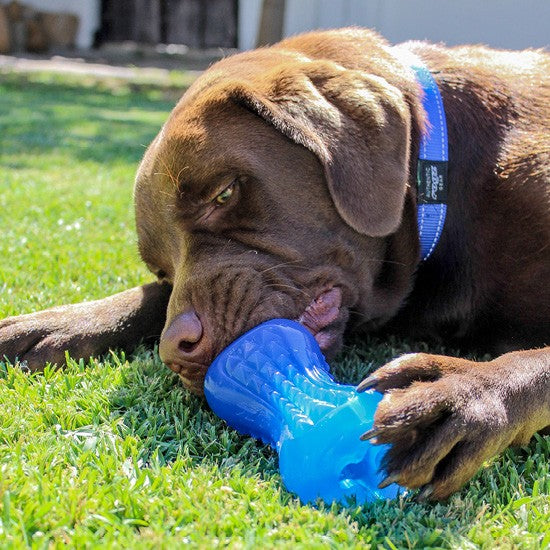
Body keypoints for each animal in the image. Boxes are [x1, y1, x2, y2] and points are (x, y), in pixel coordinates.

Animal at [1, 31, 550, 504]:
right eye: (162, 270)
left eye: (223, 194)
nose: (174, 352)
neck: (444, 180)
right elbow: (144, 300)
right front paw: (54, 323)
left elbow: (533, 359)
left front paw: (459, 395)